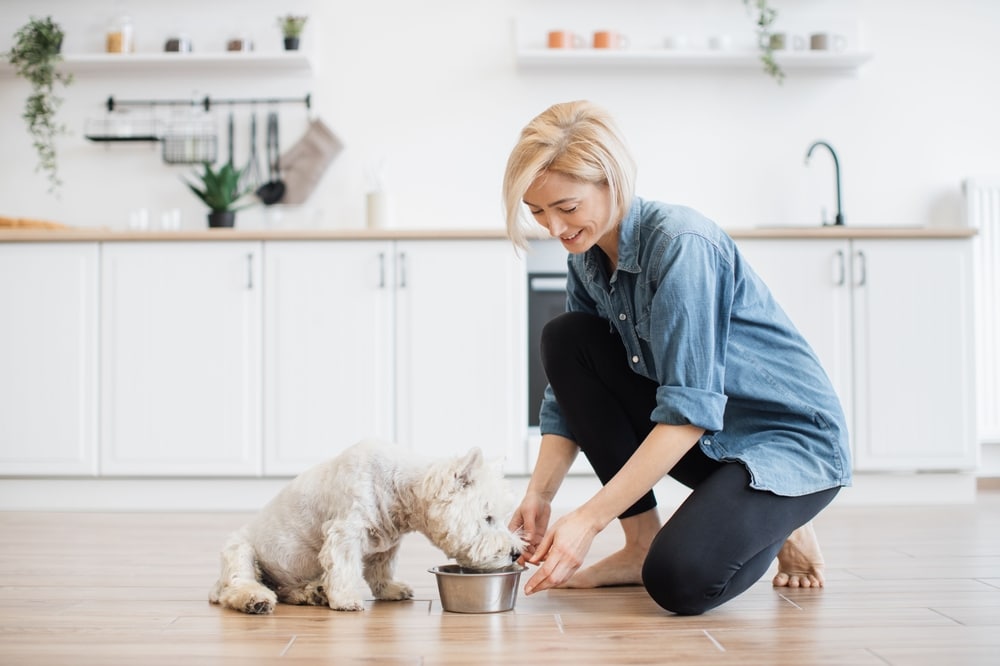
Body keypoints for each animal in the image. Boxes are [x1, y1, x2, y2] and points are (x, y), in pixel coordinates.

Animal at [211, 436, 524, 612]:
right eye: (488, 518)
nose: (515, 553)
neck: (403, 488)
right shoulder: (344, 531)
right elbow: (344, 567)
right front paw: (346, 599)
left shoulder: (387, 542)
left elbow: (380, 570)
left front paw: (390, 590)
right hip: (241, 549)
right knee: (236, 585)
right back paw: (255, 600)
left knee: (285, 591)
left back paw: (312, 593)